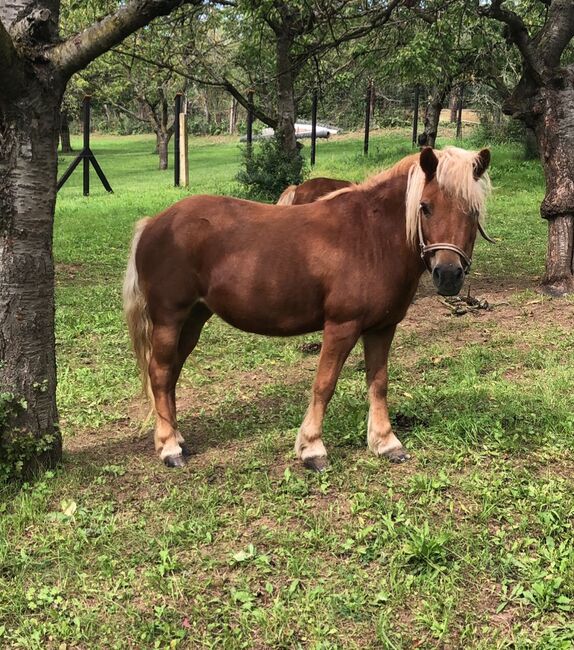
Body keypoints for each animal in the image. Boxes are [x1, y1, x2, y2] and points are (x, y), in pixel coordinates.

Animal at [124, 147, 492, 468]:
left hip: (193, 319)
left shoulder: (382, 328)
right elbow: (324, 384)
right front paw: (312, 448)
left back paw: (175, 438)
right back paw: (169, 447)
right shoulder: (342, 326)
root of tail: (153, 224)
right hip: (170, 318)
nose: (448, 275)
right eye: (425, 206)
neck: (372, 237)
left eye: (473, 211)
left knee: (171, 373)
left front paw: (386, 443)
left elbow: (378, 382)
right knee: (160, 374)